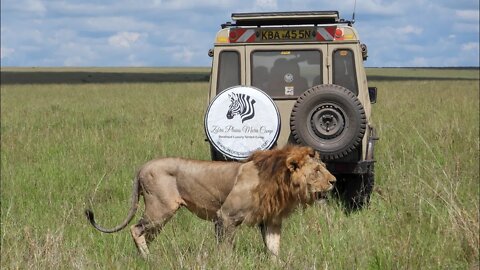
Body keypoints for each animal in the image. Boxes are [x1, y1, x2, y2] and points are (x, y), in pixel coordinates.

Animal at [85, 144, 334, 258]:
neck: (279, 180)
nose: (334, 181)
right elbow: (226, 248)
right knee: (136, 229)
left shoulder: (270, 220)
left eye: (324, 167)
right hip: (160, 209)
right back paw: (148, 259)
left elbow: (274, 247)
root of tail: (142, 167)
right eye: (317, 171)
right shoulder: (226, 216)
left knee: (144, 234)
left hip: (159, 217)